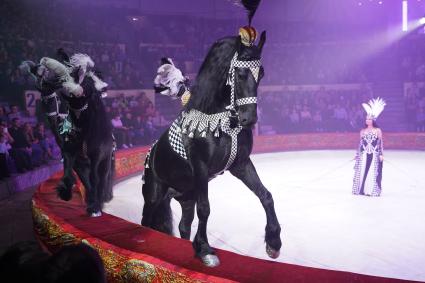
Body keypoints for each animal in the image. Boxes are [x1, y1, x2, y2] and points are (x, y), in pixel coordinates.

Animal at [142, 33, 282, 268]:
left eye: (261, 72)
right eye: (240, 73)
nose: (250, 118)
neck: (218, 121)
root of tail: (150, 156)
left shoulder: (241, 164)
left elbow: (266, 195)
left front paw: (274, 241)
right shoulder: (200, 168)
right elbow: (205, 208)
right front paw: (205, 250)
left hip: (185, 197)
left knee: (183, 225)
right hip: (154, 195)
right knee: (146, 220)